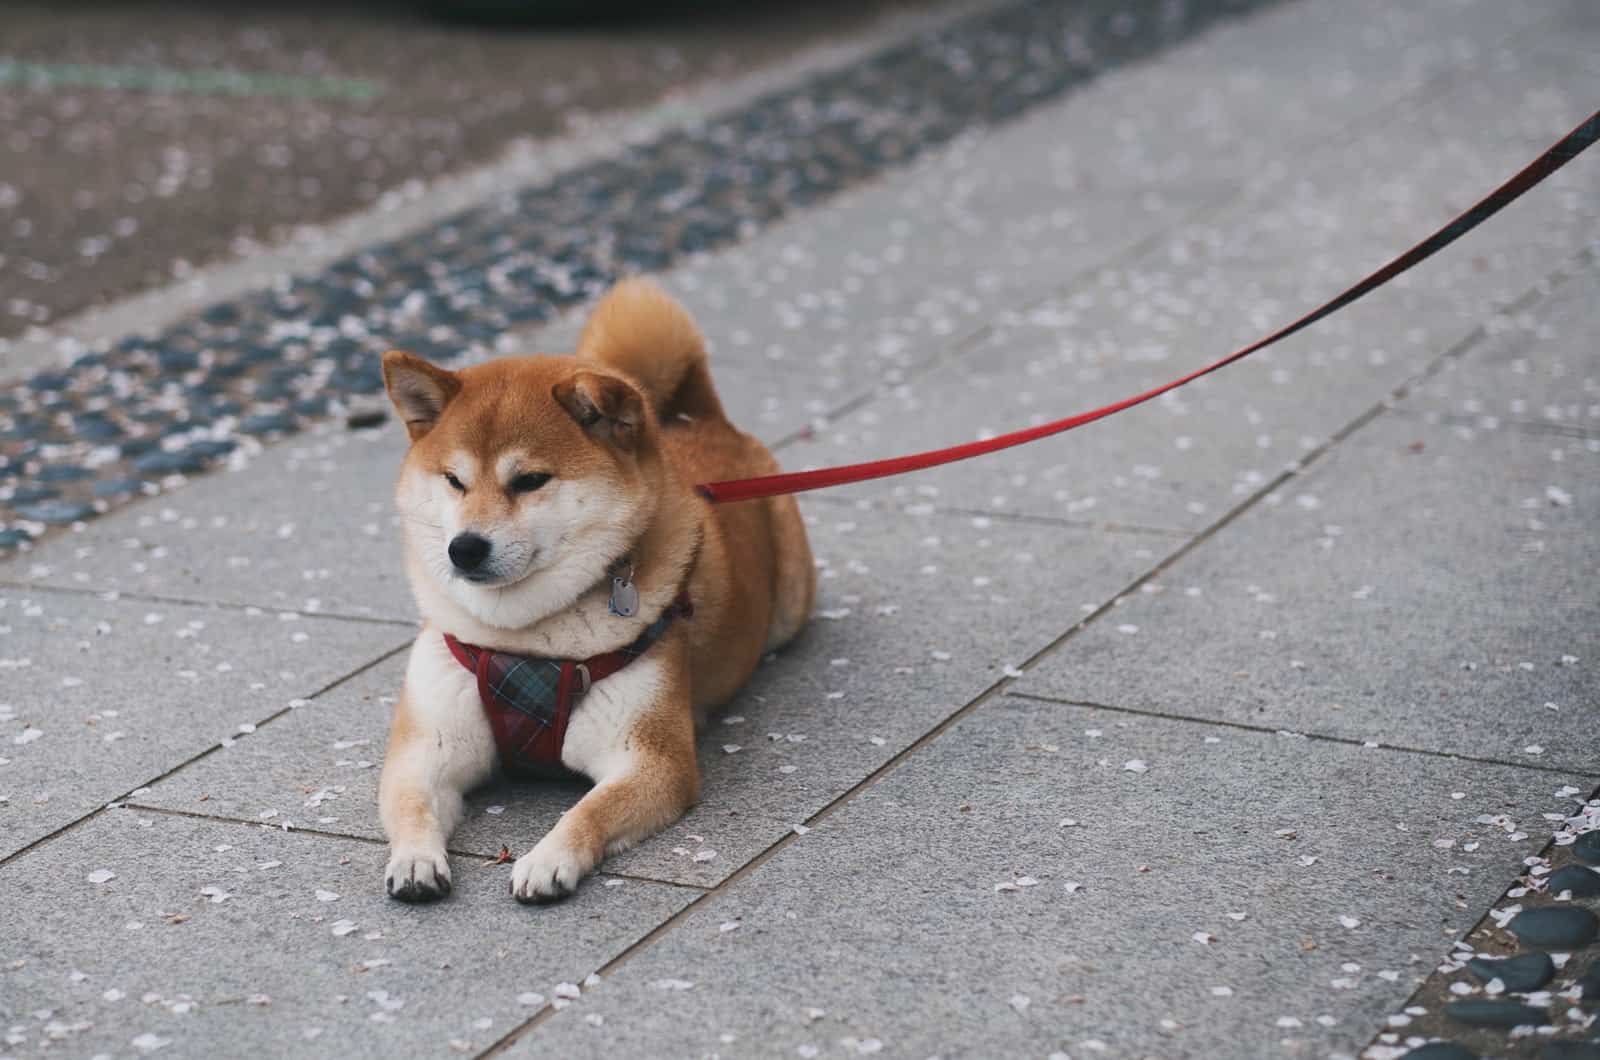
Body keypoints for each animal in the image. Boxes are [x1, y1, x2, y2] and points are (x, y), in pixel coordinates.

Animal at [377, 278, 812, 903]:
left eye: (530, 480)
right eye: (453, 481)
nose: (465, 548)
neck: (524, 642)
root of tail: (697, 418)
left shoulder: (651, 759)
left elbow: (589, 811)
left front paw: (547, 858)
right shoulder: (427, 749)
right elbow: (411, 805)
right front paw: (414, 859)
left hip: (791, 603)